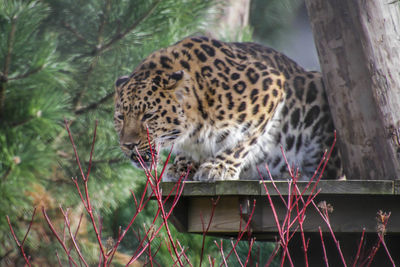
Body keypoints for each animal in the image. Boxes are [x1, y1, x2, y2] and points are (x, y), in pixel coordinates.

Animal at [114, 36, 342, 182]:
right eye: (120, 117)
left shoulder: (271, 86)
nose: (128, 145)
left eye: (148, 115)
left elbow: (242, 140)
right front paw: (182, 165)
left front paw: (218, 167)